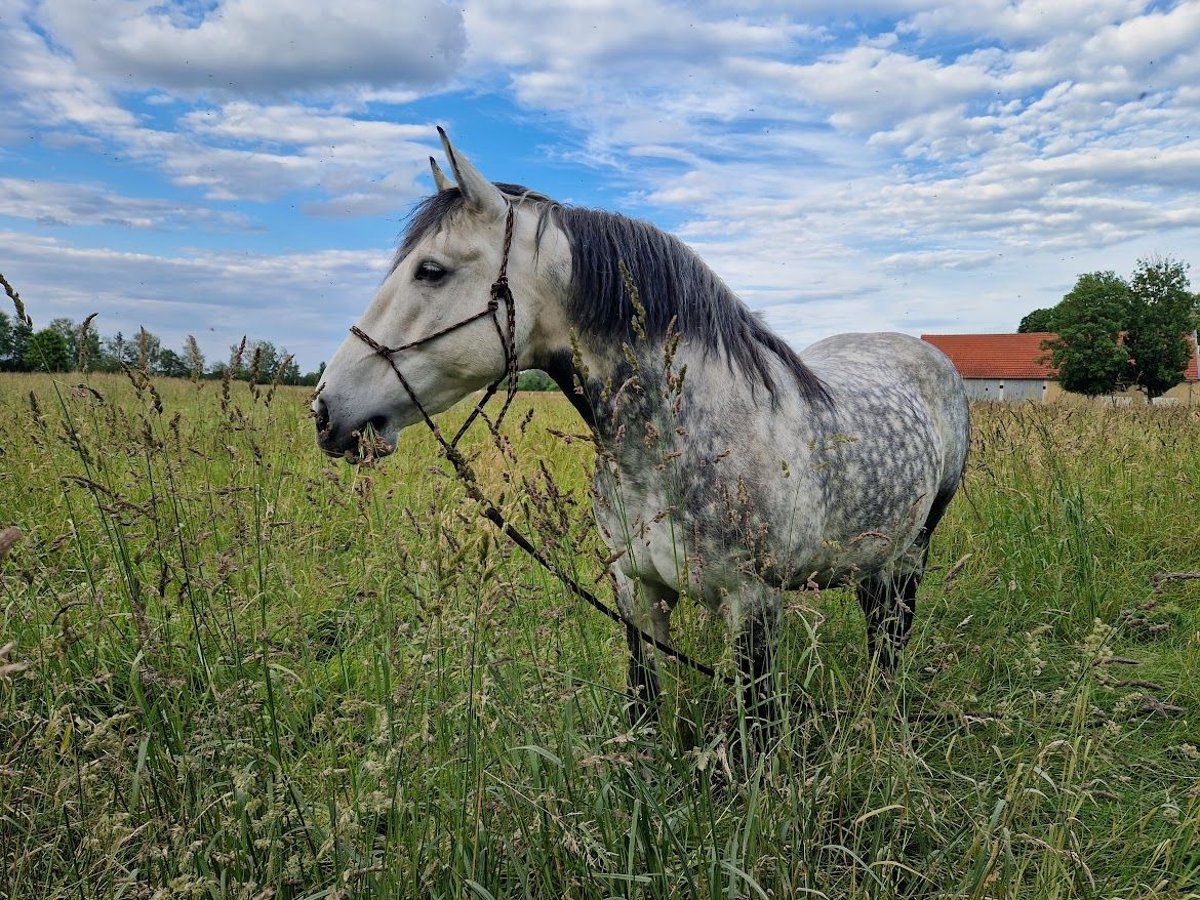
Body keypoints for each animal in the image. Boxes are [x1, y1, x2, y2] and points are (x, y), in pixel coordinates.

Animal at [315, 128, 970, 741]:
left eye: (431, 270)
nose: (326, 411)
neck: (674, 444)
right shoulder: (637, 590)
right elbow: (644, 705)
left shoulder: (754, 604)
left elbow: (756, 729)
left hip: (912, 552)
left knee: (891, 636)